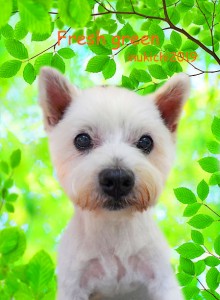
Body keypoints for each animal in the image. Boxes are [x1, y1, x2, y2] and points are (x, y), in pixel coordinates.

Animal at [38, 67, 189, 298]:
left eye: (146, 141)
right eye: (82, 139)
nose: (117, 178)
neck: (113, 232)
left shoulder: (161, 278)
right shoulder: (73, 284)